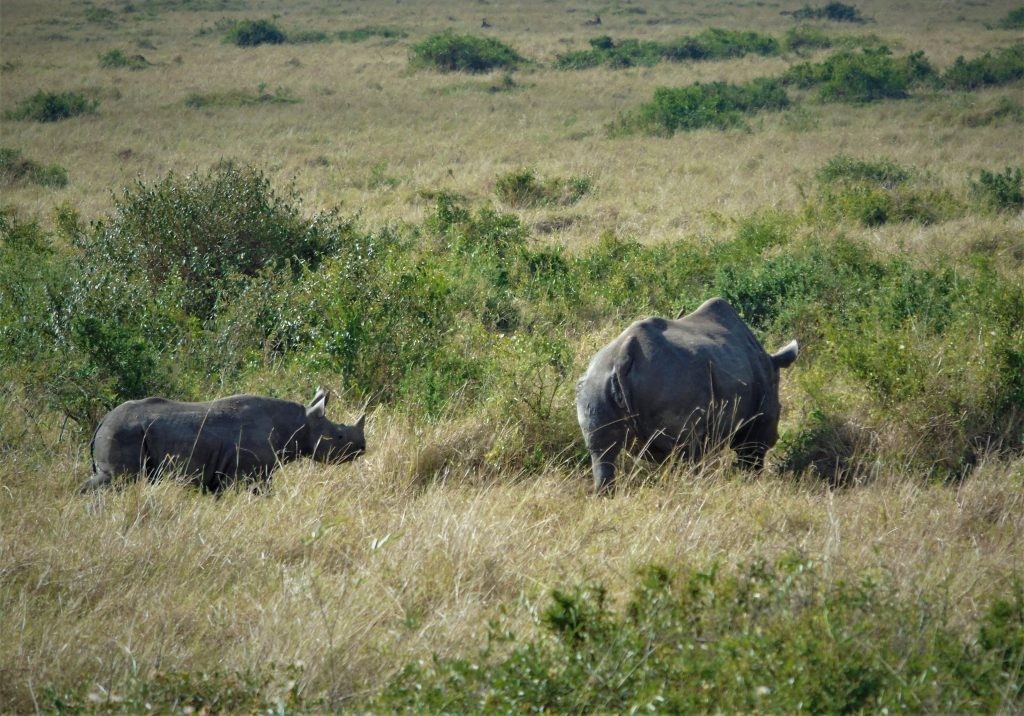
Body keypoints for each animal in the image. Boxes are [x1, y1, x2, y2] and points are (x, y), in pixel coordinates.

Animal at [81, 387, 366, 493]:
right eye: (340, 436)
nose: (363, 448)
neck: (300, 424)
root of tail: (102, 421)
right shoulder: (250, 474)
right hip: (122, 433)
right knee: (117, 479)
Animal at [577, 297, 798, 493]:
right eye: (780, 411)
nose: (776, 438)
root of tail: (623, 355)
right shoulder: (757, 415)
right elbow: (751, 447)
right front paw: (749, 475)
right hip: (671, 381)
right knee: (687, 452)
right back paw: (694, 487)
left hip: (595, 382)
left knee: (601, 451)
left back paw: (605, 492)